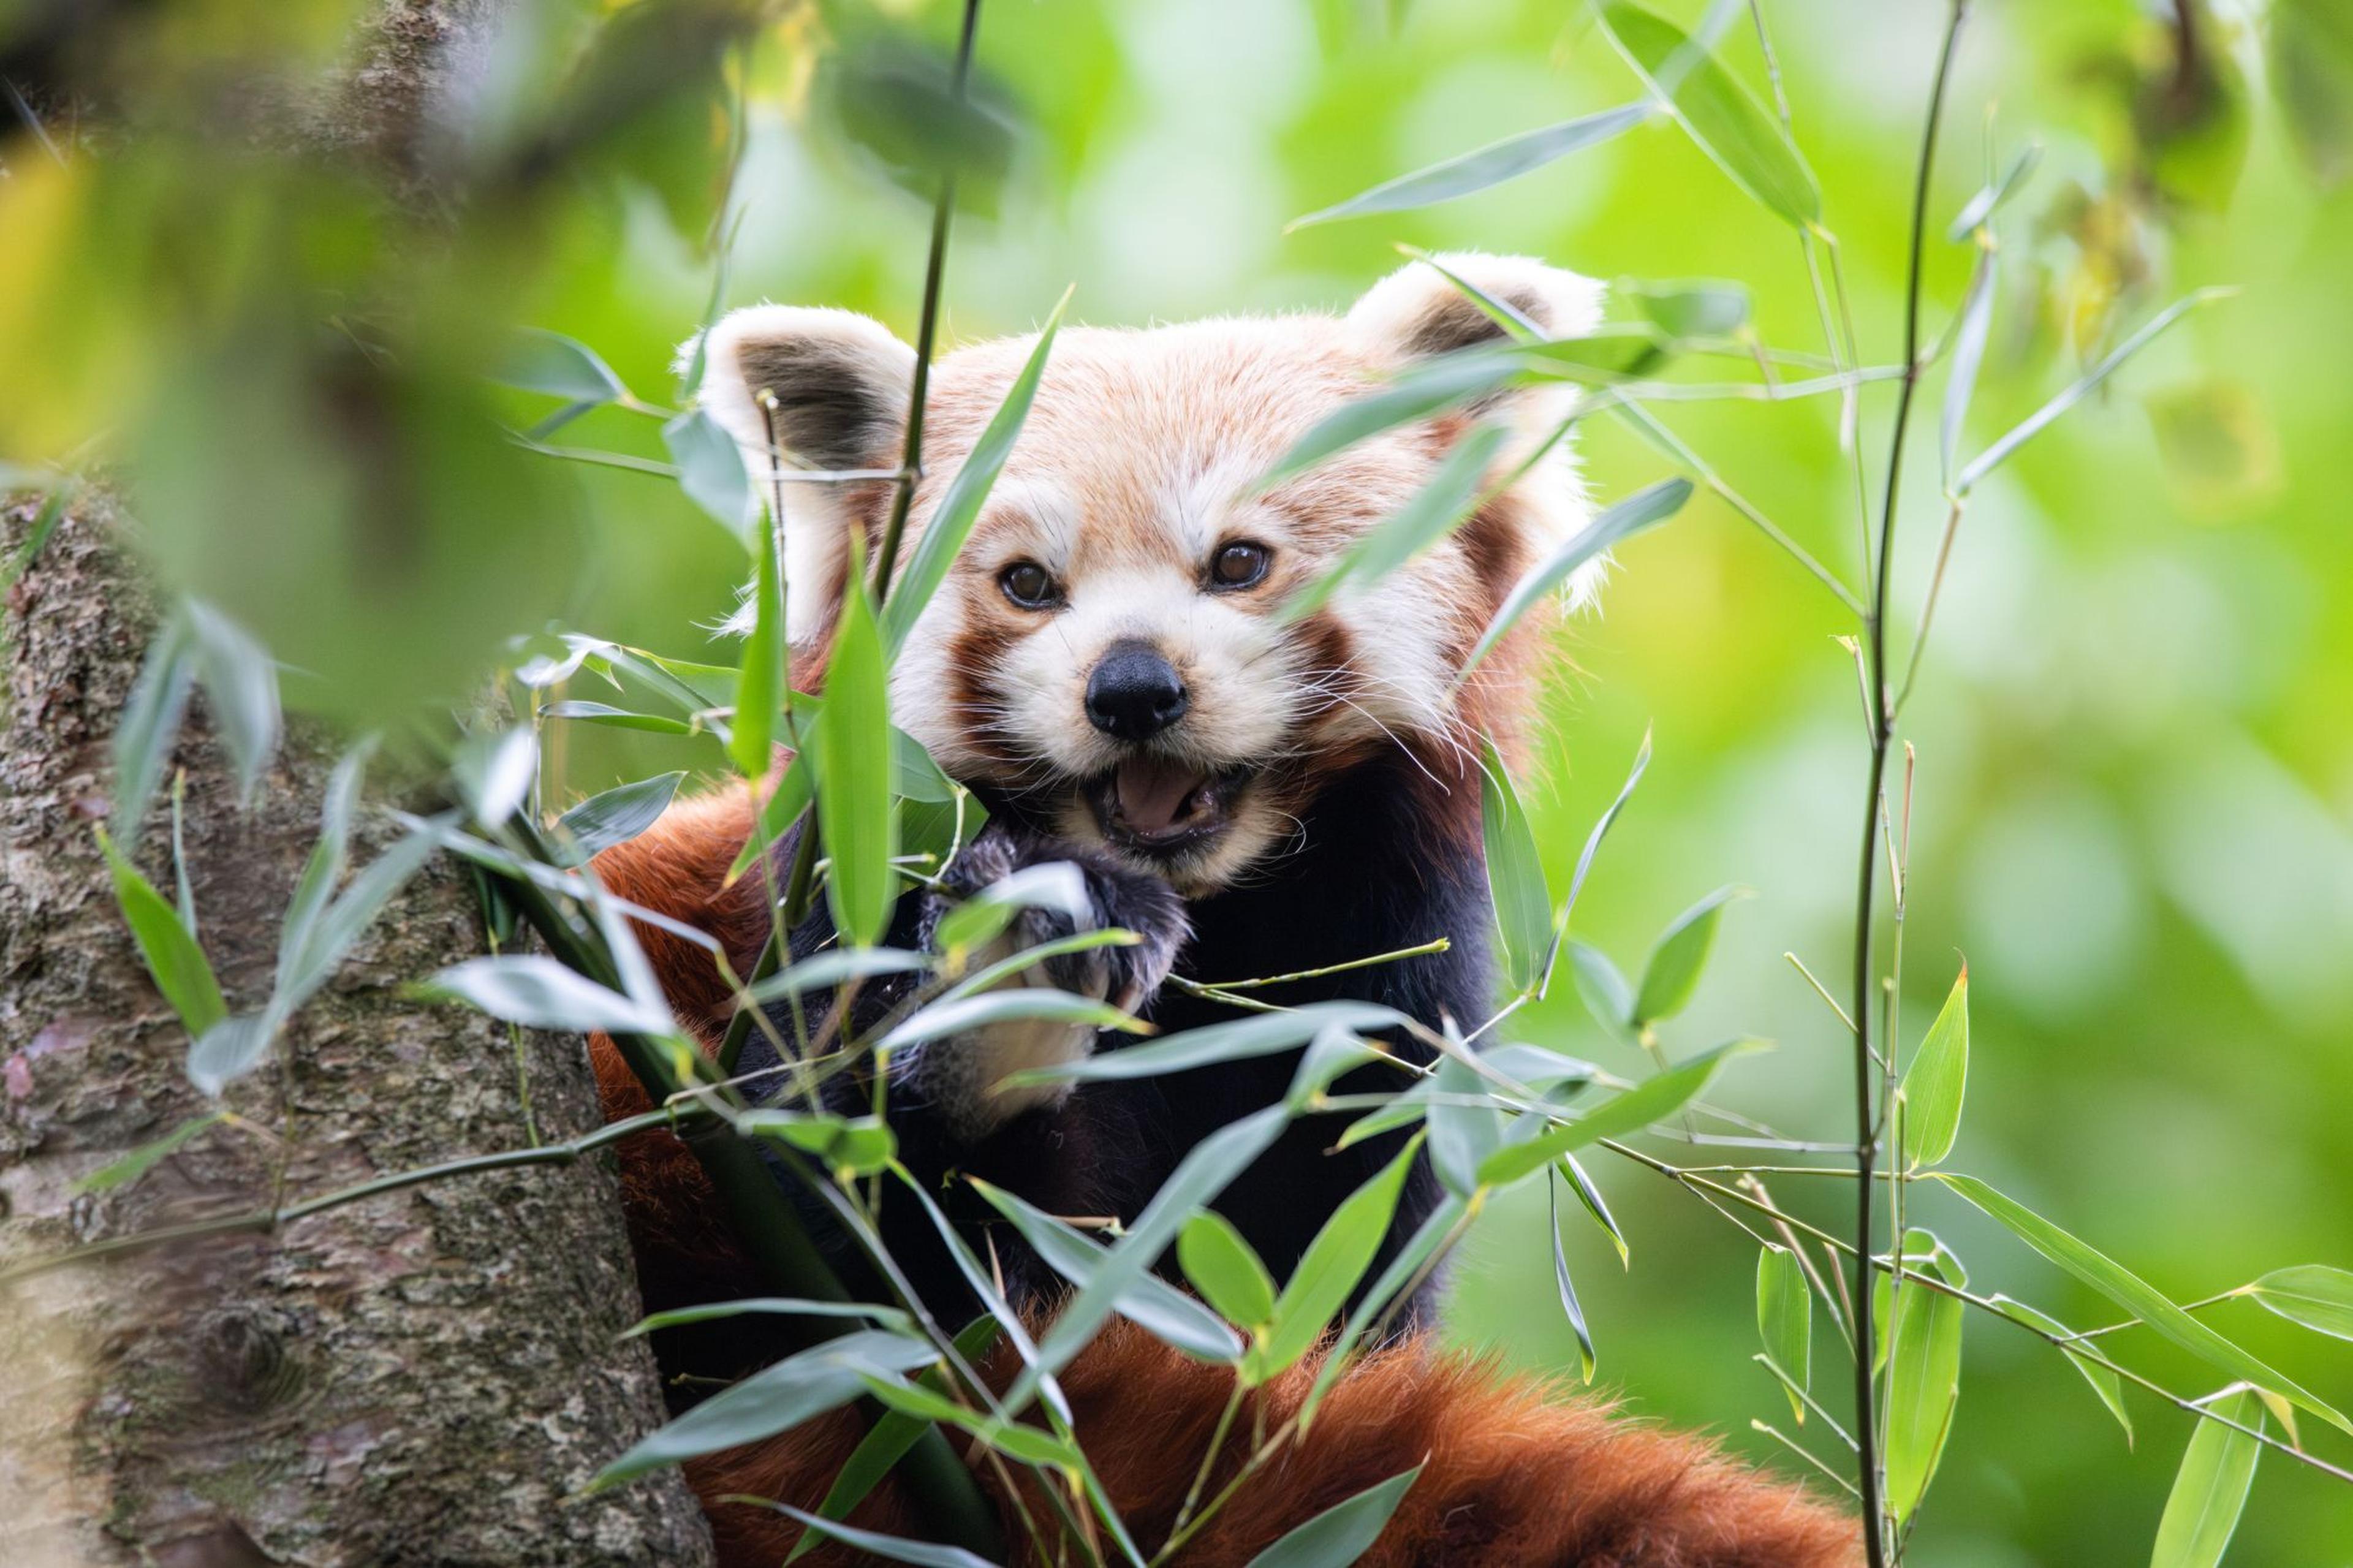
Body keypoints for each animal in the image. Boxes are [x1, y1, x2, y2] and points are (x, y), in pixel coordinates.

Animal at [588, 255, 1857, 1567]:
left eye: (1240, 561)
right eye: (1028, 584)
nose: (1132, 687)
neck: (1215, 933)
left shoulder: (1381, 1007)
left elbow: (1338, 1297)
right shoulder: (831, 917)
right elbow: (835, 1238)